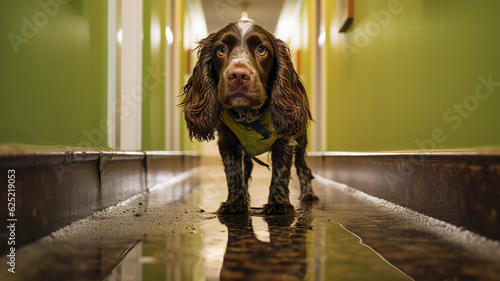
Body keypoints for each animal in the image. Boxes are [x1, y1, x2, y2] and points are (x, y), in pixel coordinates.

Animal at [182, 19, 318, 213]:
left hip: (299, 141)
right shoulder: (227, 141)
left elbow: (281, 171)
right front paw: (235, 202)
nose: (238, 75)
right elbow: (233, 172)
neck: (249, 114)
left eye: (261, 50)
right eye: (221, 49)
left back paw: (308, 194)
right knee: (247, 168)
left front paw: (278, 204)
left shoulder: (285, 139)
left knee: (303, 168)